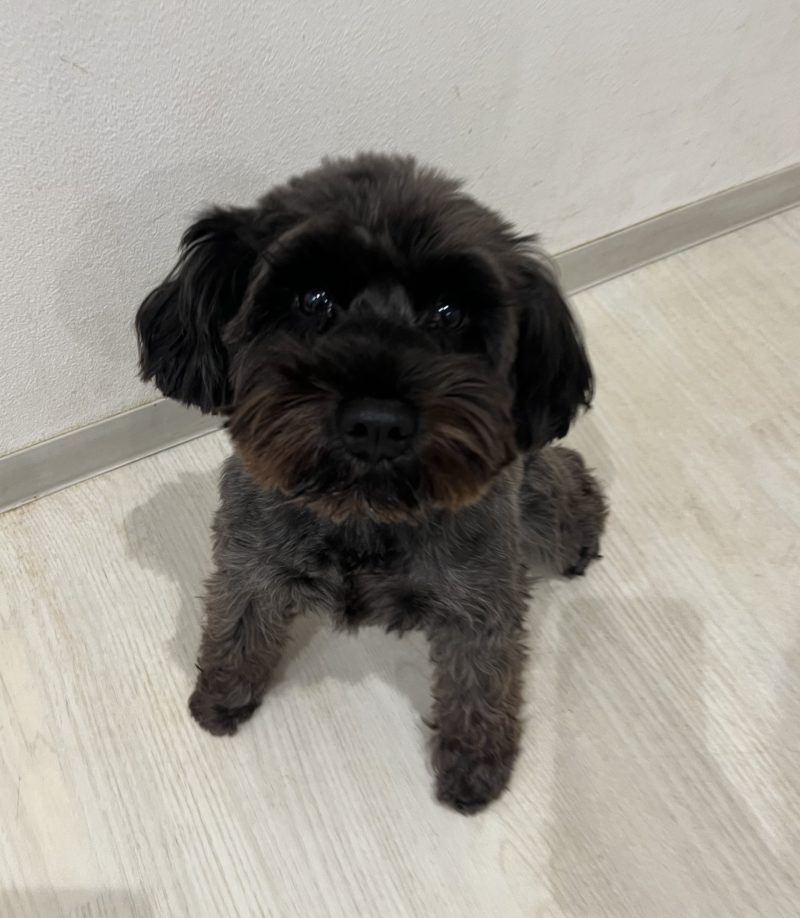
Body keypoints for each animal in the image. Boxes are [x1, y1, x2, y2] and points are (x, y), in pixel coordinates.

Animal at [135, 153, 607, 813]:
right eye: (313, 298)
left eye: (448, 313)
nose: (378, 423)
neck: (362, 514)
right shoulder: (249, 560)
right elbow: (237, 627)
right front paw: (222, 695)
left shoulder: (479, 602)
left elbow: (480, 686)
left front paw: (475, 766)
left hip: (530, 508)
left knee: (562, 487)